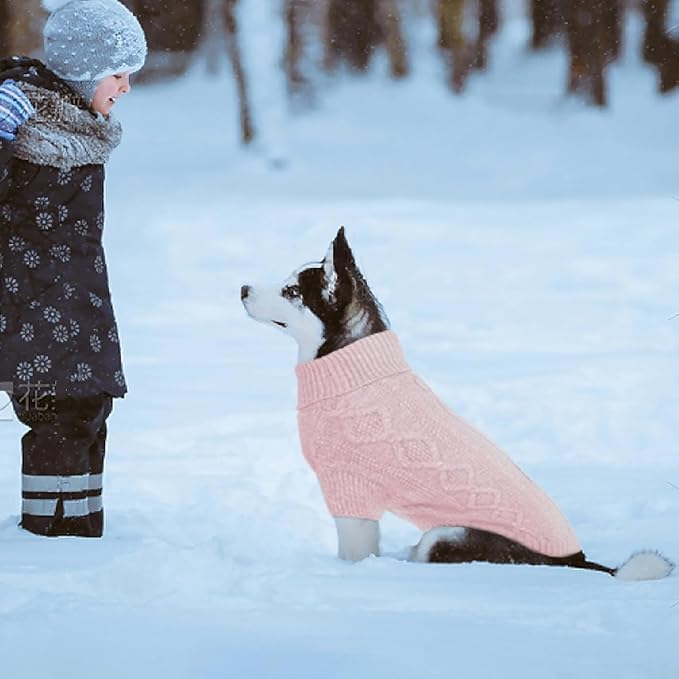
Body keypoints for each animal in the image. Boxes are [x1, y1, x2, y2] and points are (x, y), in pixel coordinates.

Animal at [243, 231, 676, 580]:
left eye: (292, 292)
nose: (243, 288)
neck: (348, 366)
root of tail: (576, 560)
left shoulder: (351, 493)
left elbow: (354, 553)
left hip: (444, 536)